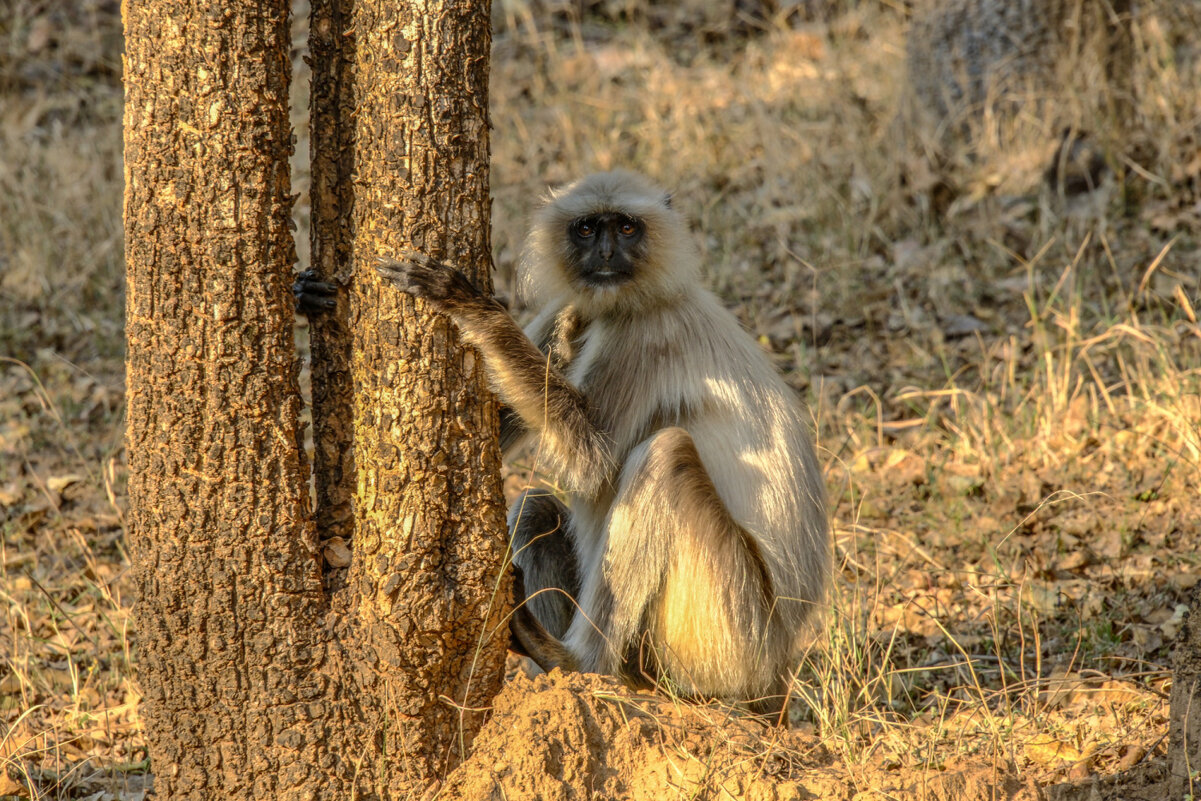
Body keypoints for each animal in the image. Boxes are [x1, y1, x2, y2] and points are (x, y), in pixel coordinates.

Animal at [379, 170, 831, 715]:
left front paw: (478, 311)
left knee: (664, 455)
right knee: (534, 505)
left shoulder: (646, 333)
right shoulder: (568, 310)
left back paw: (576, 661)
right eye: (588, 229)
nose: (608, 253)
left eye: (627, 227)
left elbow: (592, 460)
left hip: (731, 633)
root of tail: (777, 669)